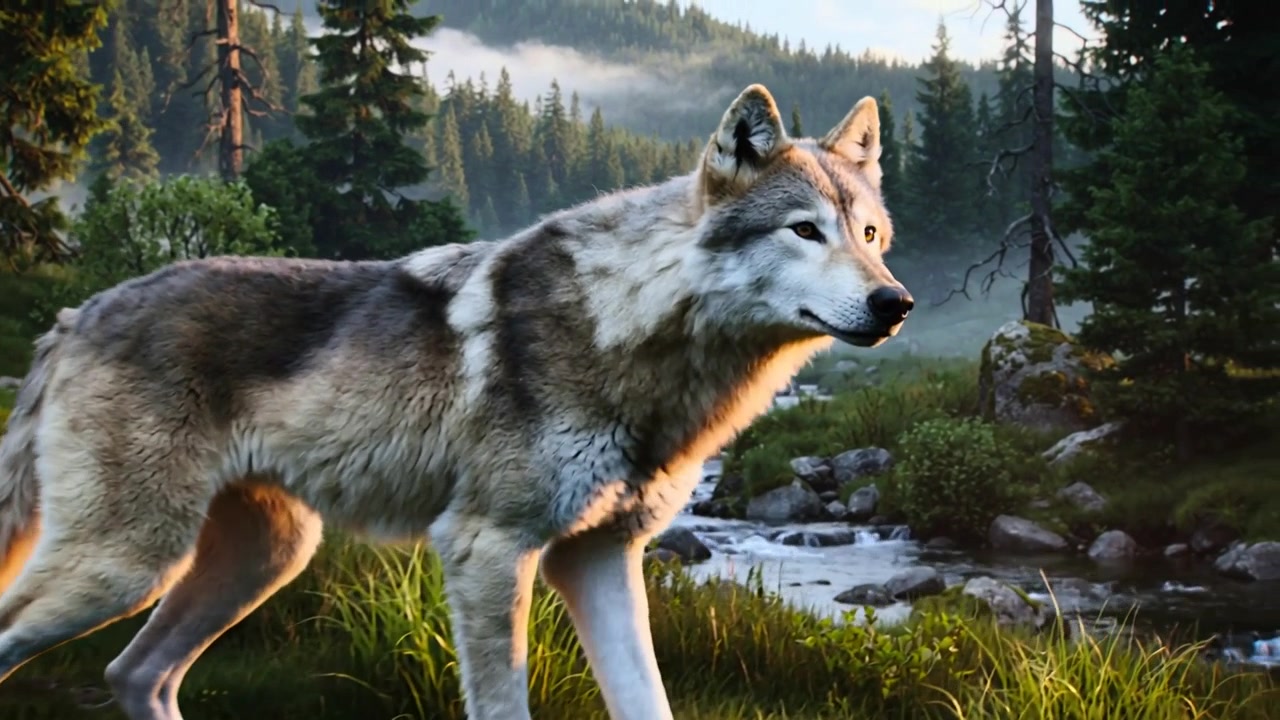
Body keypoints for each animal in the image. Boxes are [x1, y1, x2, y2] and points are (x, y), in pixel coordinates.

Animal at [0, 83, 912, 719]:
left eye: (868, 235)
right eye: (804, 230)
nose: (896, 304)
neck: (630, 327)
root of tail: (76, 314)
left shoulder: (600, 559)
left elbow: (647, 701)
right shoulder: (487, 549)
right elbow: (504, 703)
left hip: (263, 559)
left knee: (136, 674)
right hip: (127, 566)